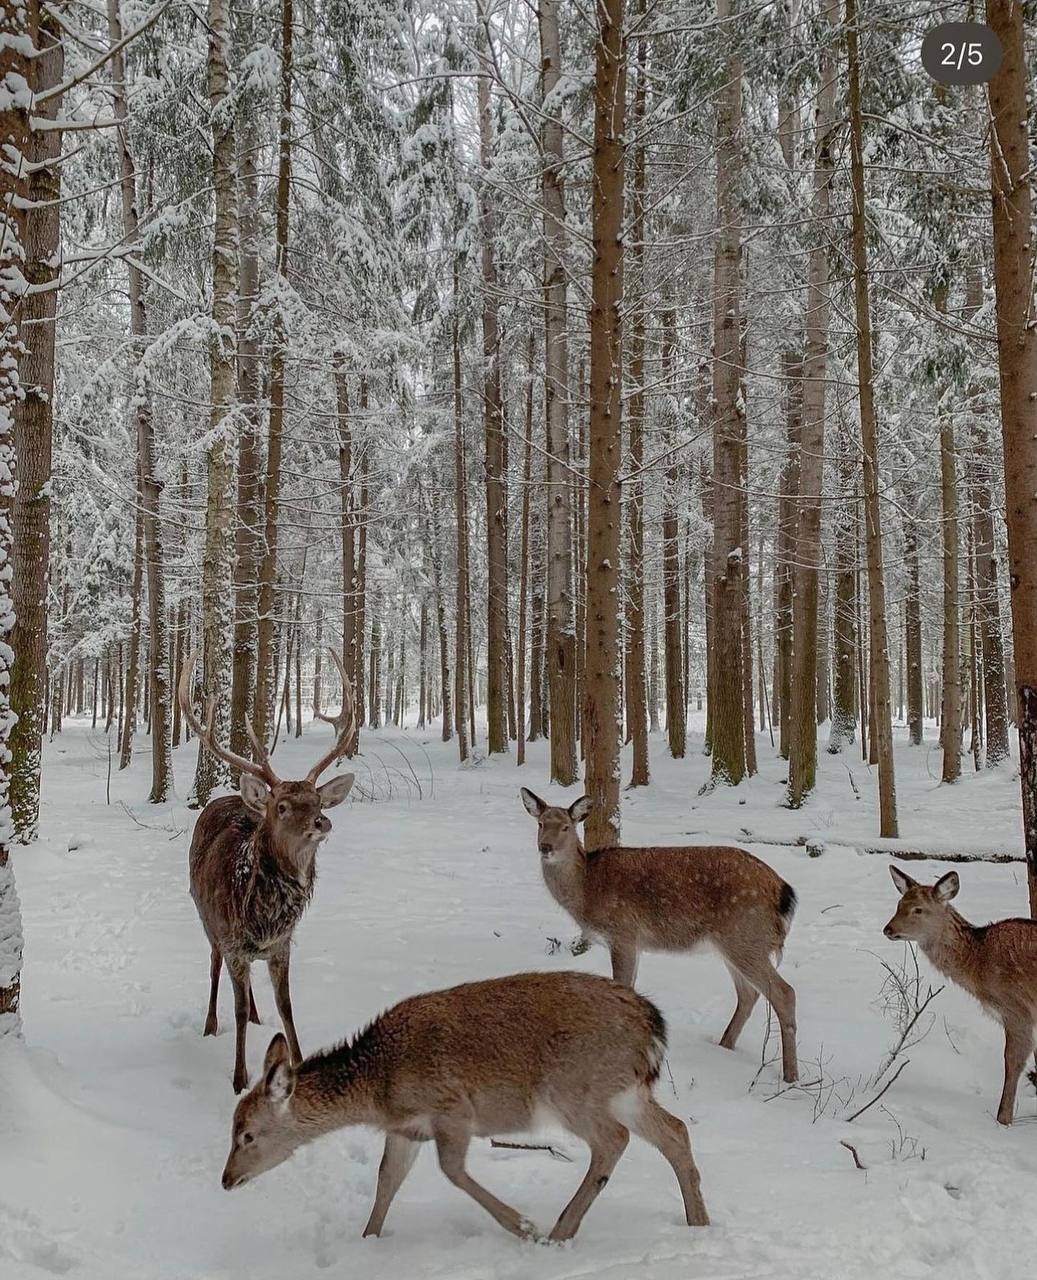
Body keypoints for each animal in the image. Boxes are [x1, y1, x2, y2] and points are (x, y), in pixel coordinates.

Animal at [179, 651, 356, 1093]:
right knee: (214, 967)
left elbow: (286, 1006)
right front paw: (240, 1077)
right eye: (282, 806)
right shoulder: (232, 940)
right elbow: (238, 1009)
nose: (322, 822)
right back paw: (210, 1023)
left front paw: (300, 1063)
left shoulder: (282, 946)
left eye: (316, 800)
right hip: (207, 920)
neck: (263, 918)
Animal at [220, 970, 709, 1242]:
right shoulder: (406, 1129)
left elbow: (451, 1170)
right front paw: (368, 1239)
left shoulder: (451, 1108)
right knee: (675, 1130)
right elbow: (386, 1180)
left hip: (575, 1088)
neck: (379, 1088)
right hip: (626, 1090)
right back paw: (699, 1222)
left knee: (613, 1140)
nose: (226, 1179)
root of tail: (653, 1026)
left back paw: (557, 1232)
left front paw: (523, 1226)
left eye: (247, 1134)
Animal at [520, 789, 800, 1084]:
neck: (586, 891)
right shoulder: (634, 942)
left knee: (784, 993)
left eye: (566, 826)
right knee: (748, 994)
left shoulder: (623, 932)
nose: (545, 847)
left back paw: (790, 1076)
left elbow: (623, 985)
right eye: (540, 824)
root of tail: (783, 892)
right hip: (735, 944)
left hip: (745, 936)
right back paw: (724, 1046)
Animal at [884, 865, 1037, 1125]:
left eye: (918, 909)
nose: (888, 929)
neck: (979, 963)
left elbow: (1012, 1061)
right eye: (899, 904)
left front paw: (1003, 1119)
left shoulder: (1017, 1009)